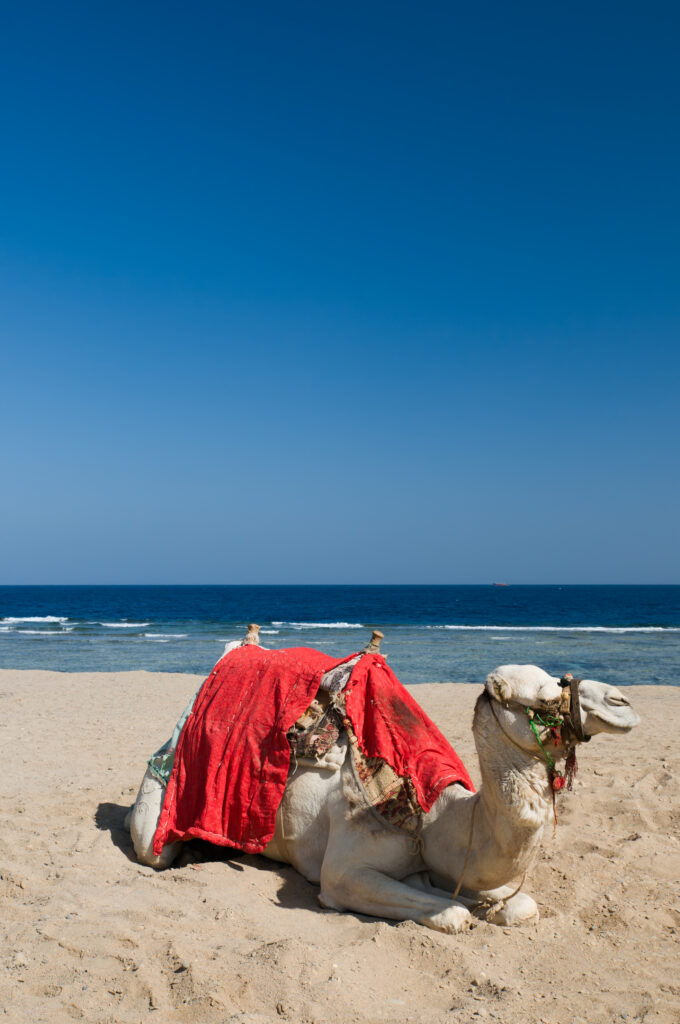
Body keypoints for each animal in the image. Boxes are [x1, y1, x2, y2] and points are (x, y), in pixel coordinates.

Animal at [126, 636, 639, 933]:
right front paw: (457, 909)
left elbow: (519, 904)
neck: (434, 818)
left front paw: (488, 905)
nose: (623, 702)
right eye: (547, 698)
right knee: (152, 845)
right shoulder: (343, 872)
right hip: (164, 793)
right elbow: (451, 912)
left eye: (558, 678)